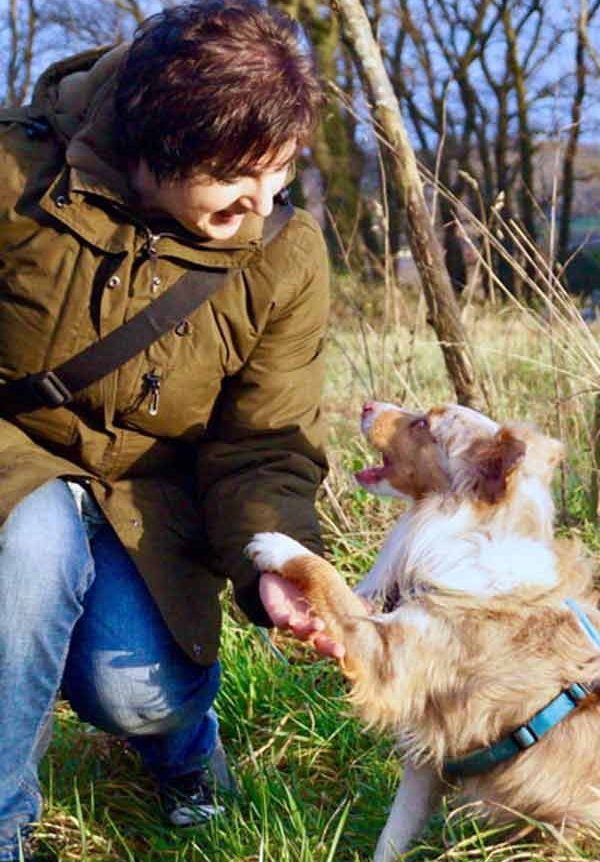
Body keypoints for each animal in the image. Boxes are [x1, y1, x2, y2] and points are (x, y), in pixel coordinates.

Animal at [246, 402, 600, 860]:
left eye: (424, 425)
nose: (367, 405)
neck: (471, 532)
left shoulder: (388, 656)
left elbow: (326, 577)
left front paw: (278, 546)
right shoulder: (429, 759)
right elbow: (392, 838)